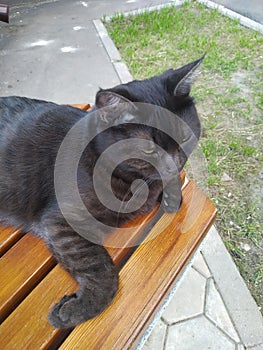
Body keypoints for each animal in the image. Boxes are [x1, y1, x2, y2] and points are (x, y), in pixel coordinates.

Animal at [0, 55, 204, 328]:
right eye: (148, 149)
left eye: (183, 136)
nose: (174, 164)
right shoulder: (62, 221)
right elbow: (98, 265)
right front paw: (77, 309)